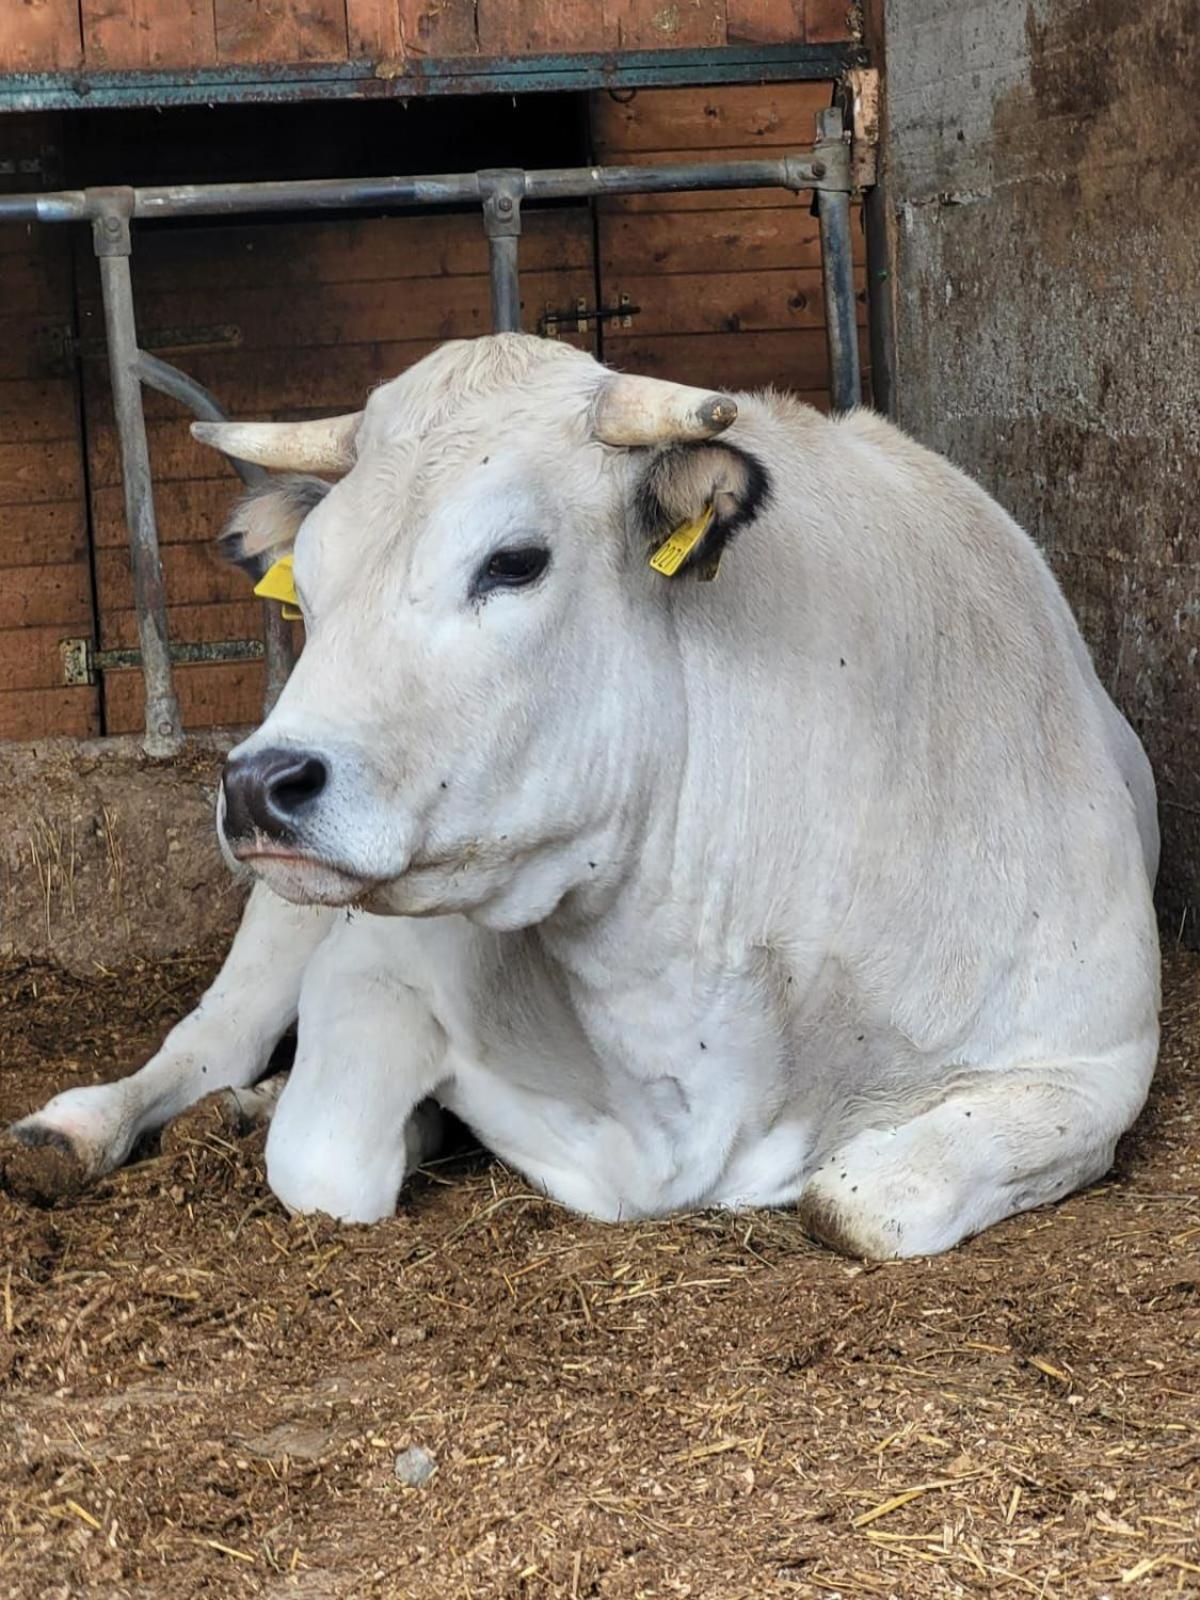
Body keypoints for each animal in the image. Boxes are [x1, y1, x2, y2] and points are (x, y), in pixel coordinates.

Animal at [4, 340, 1158, 1260]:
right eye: (312, 581)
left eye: (514, 561)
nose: (256, 781)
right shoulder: (374, 964)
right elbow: (328, 1163)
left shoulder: (1095, 1060)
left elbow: (861, 1203)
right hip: (289, 912)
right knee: (210, 1039)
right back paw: (80, 1129)